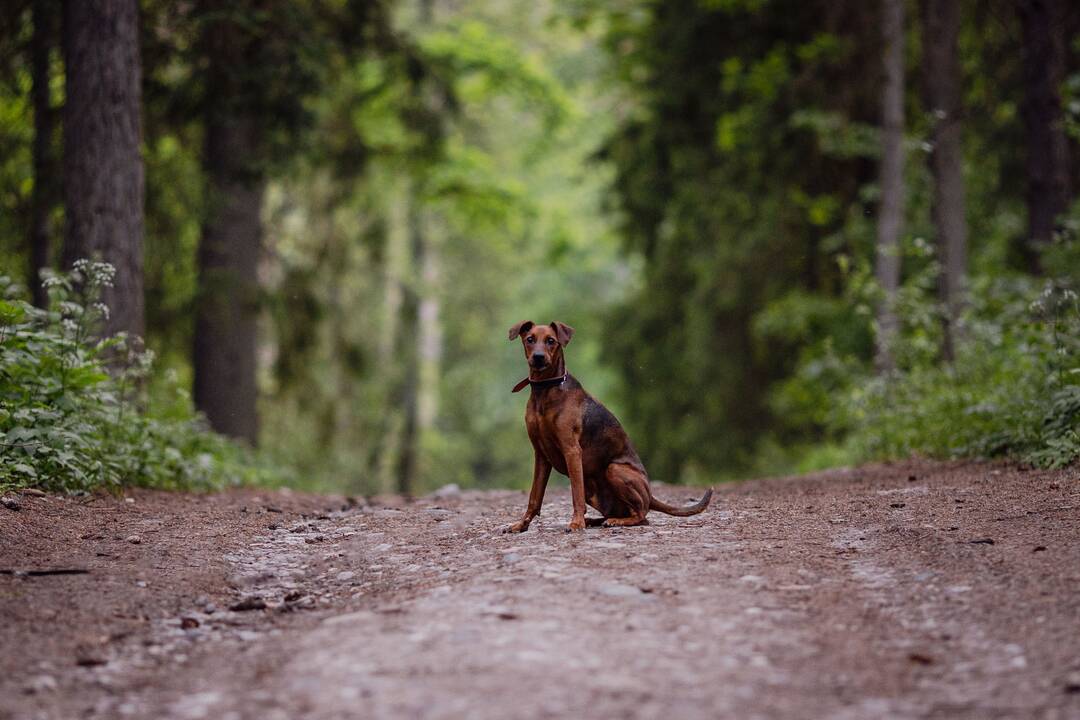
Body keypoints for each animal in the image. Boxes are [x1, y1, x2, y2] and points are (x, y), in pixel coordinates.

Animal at [503, 323, 712, 533]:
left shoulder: (572, 451)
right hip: (594, 490)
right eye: (530, 339)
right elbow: (534, 497)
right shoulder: (541, 455)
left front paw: (576, 523)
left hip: (614, 469)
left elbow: (575, 494)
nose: (538, 357)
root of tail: (651, 495)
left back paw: (614, 521)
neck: (545, 390)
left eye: (551, 340)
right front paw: (521, 525)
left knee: (642, 516)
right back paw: (596, 520)